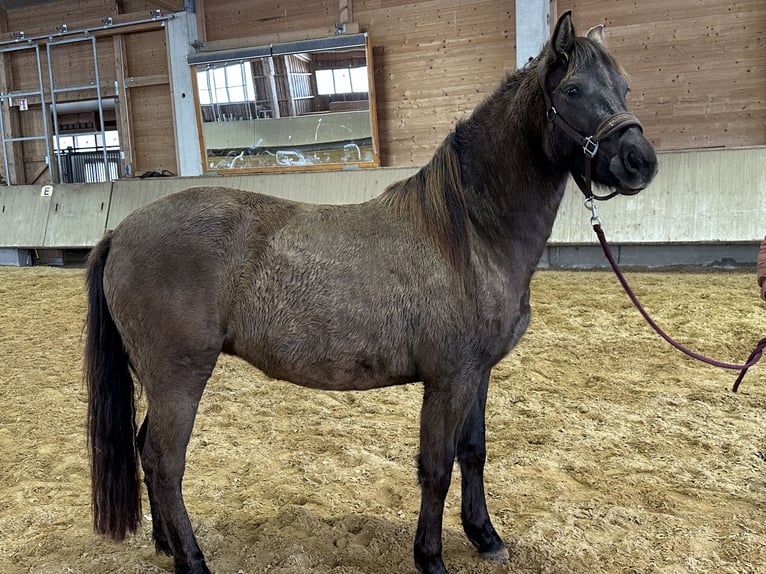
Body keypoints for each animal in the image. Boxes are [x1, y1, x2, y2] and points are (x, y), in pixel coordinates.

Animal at [85, 12, 657, 574]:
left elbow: (473, 452)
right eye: (575, 90)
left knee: (146, 449)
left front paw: (485, 537)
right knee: (165, 463)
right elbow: (436, 469)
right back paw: (194, 560)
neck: (469, 233)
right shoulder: (448, 379)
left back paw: (167, 547)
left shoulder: (478, 373)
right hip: (178, 376)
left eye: (625, 86)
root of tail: (120, 231)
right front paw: (430, 558)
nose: (640, 161)